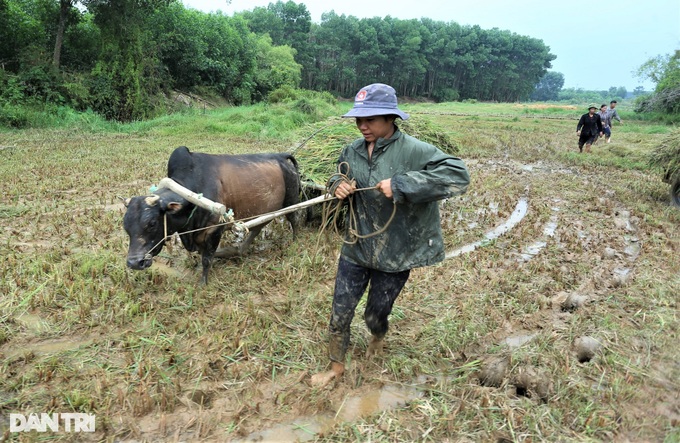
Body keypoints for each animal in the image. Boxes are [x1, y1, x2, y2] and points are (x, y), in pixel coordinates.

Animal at [125, 147, 300, 284]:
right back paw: (236, 250)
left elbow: (206, 259)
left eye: (152, 223)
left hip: (291, 201)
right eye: (125, 226)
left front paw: (203, 282)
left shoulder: (215, 230)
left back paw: (295, 242)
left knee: (294, 220)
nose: (134, 262)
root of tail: (282, 156)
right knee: (258, 227)